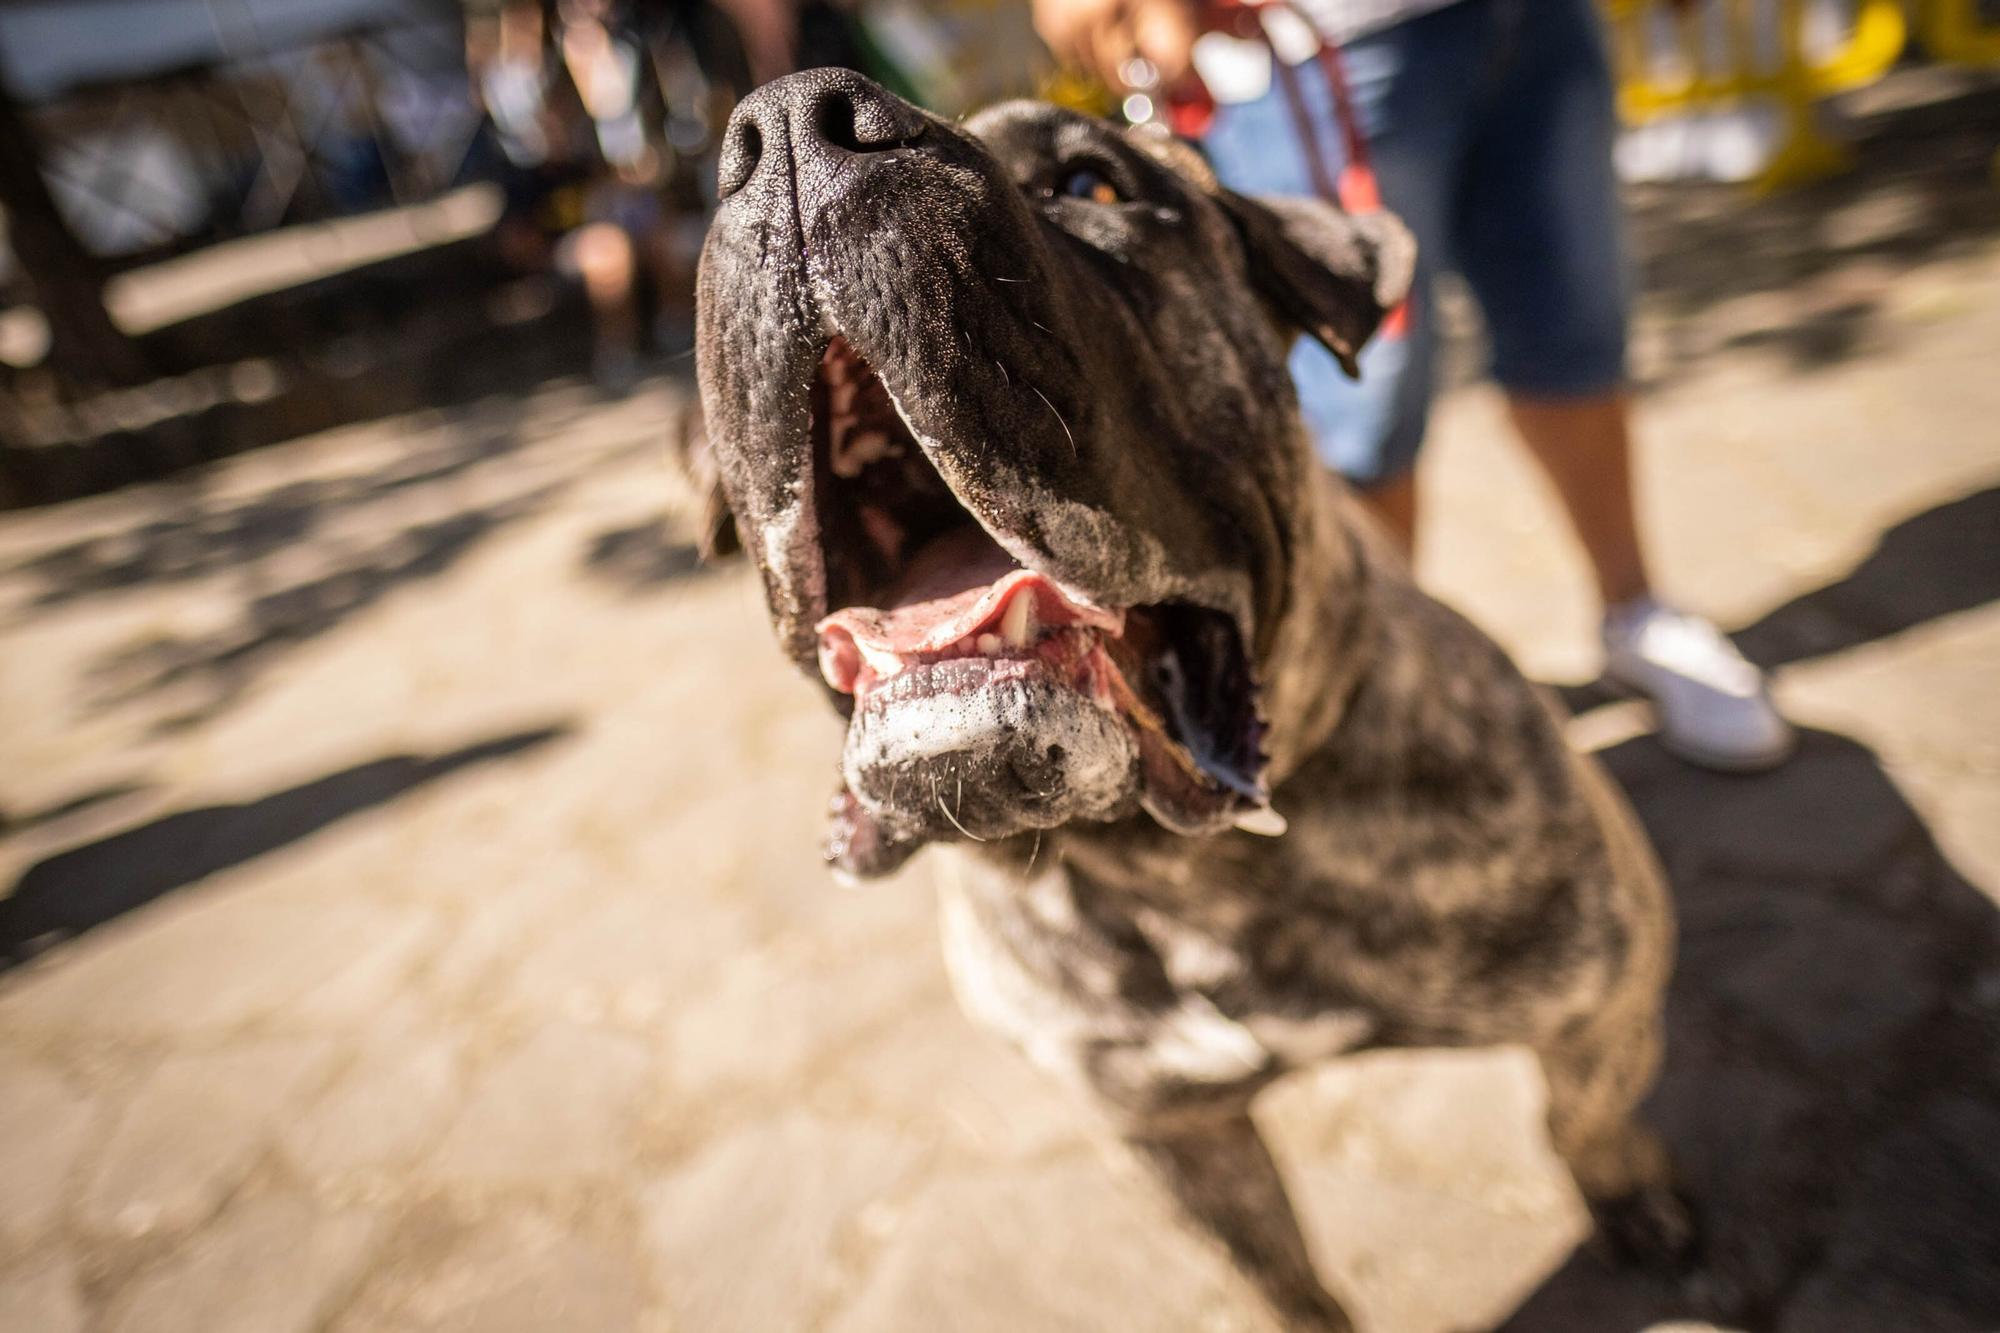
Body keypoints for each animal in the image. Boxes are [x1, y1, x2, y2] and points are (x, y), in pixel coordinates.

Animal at [696, 70, 1680, 1328]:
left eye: (1091, 183)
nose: (788, 125)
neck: (1181, 871)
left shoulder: (1600, 989)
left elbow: (1582, 1114)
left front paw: (1630, 1197)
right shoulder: (1167, 1130)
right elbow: (1278, 1274)